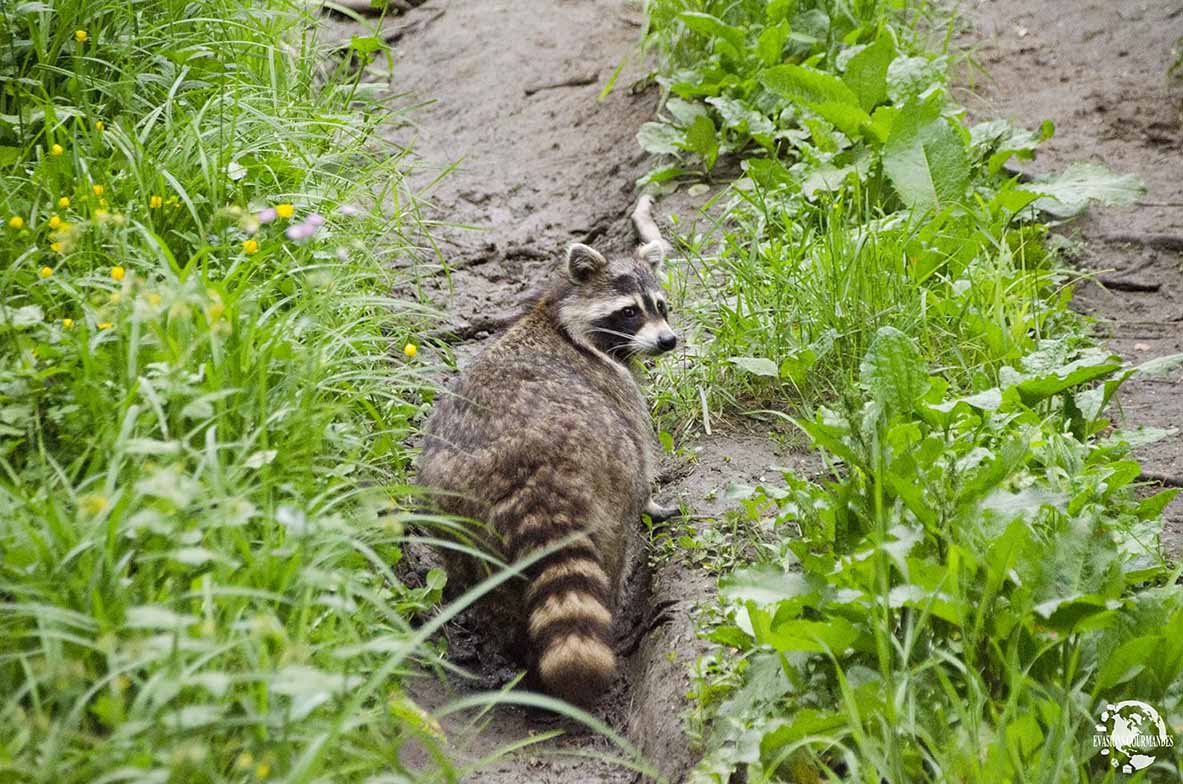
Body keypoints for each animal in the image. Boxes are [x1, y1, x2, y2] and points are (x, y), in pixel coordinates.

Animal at [418, 195, 681, 704]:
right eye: (629, 312)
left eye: (661, 306)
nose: (668, 340)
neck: (555, 310)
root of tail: (528, 464)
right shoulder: (616, 387)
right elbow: (644, 446)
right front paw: (656, 503)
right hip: (607, 475)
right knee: (615, 539)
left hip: (455, 504)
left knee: (484, 584)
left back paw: (509, 644)